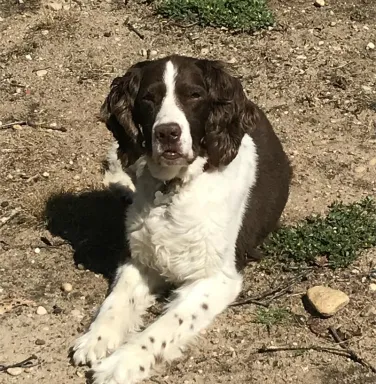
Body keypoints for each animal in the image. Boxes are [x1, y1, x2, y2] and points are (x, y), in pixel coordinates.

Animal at [72, 54, 292, 384]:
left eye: (194, 95)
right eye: (148, 98)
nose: (167, 133)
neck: (173, 189)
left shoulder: (217, 279)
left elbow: (163, 327)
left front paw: (121, 363)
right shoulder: (140, 258)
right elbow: (116, 301)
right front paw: (97, 337)